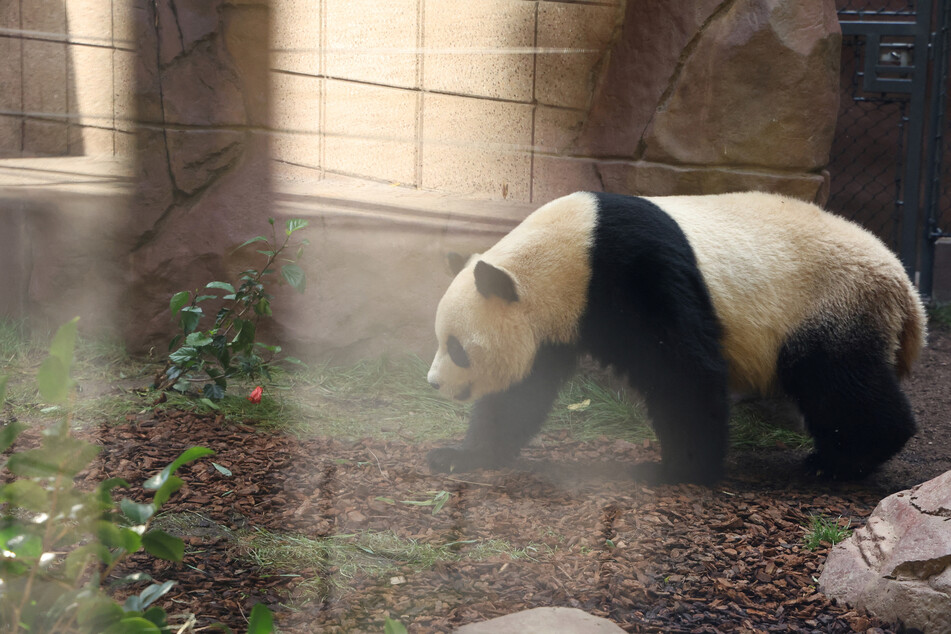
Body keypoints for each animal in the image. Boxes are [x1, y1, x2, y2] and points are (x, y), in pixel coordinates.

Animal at [426, 190, 928, 482]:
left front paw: (677, 468)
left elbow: (683, 369)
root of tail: (905, 287)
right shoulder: (558, 321)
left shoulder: (631, 269)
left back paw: (844, 460)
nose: (433, 383)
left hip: (831, 302)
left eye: (457, 348)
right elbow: (520, 393)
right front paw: (460, 455)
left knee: (837, 379)